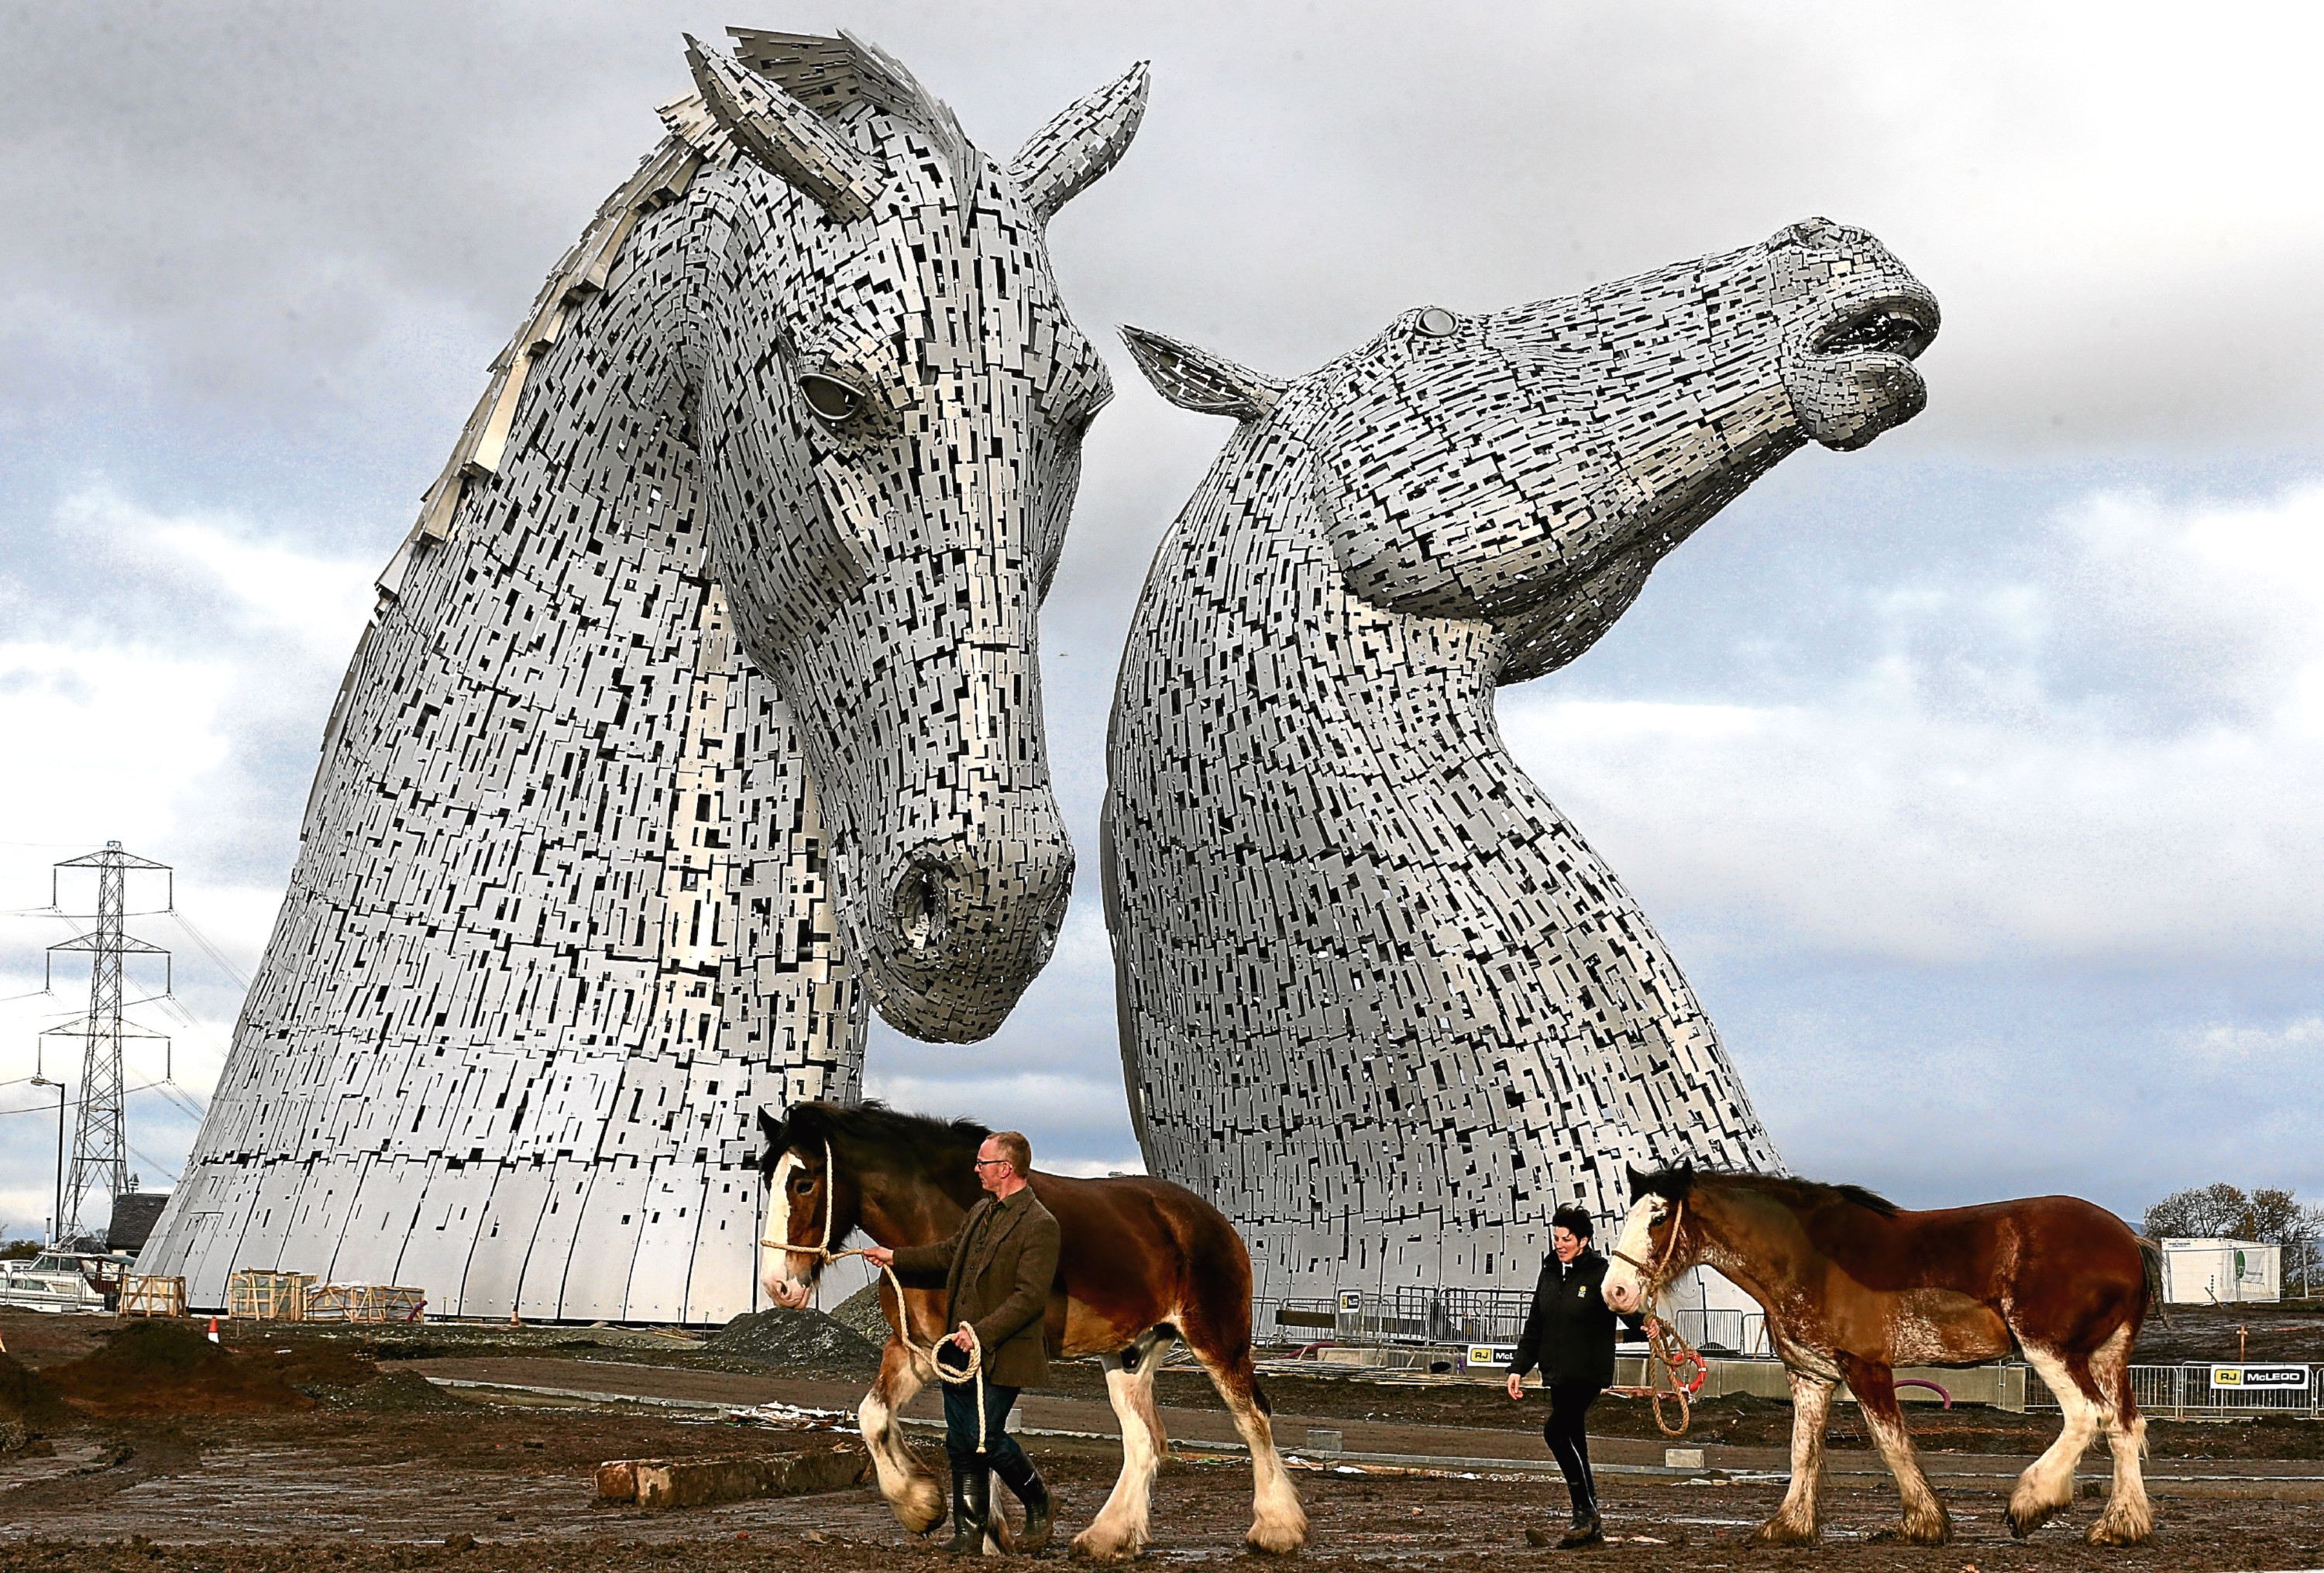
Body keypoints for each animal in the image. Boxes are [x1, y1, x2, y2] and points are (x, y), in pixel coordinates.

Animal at [762, 1106, 1311, 1561]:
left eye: (804, 1183)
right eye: (768, 1176)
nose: (778, 1285)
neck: (933, 1219)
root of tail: (1208, 1218)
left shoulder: (968, 1352)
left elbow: (976, 1435)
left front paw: (971, 1524)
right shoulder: (920, 1352)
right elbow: (878, 1417)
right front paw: (928, 1508)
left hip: (1218, 1340)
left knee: (1252, 1419)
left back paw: (1276, 1530)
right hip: (1131, 1354)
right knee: (1145, 1439)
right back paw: (1109, 1539)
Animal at [1599, 1166, 2157, 1543]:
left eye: (1659, 1217)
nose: (1617, 1291)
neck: (1810, 1258)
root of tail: (2129, 1240)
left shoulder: (1865, 1366)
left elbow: (1891, 1443)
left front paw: (1924, 1523)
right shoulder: (1810, 1374)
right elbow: (1803, 1449)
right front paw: (1789, 1524)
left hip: (2051, 1350)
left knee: (2088, 1415)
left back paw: (2031, 1502)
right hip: (2107, 1354)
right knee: (2125, 1425)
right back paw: (2120, 1526)